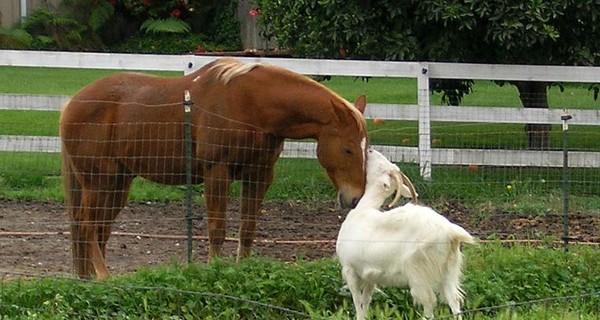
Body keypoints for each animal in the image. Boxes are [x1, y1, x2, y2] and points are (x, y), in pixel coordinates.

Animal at [62, 58, 370, 280]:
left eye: (366, 148)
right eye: (347, 149)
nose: (355, 198)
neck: (252, 105)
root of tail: (72, 104)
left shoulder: (259, 175)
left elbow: (247, 228)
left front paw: (242, 269)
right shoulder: (217, 173)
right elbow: (217, 228)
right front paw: (214, 268)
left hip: (117, 183)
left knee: (100, 228)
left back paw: (90, 278)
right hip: (99, 181)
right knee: (86, 224)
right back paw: (104, 276)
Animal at [338, 149, 474, 318]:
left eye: (382, 166)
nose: (369, 150)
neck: (364, 210)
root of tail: (451, 232)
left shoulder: (349, 268)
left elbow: (357, 301)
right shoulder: (370, 275)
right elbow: (365, 300)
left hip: (419, 271)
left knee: (429, 303)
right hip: (449, 269)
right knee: (454, 300)